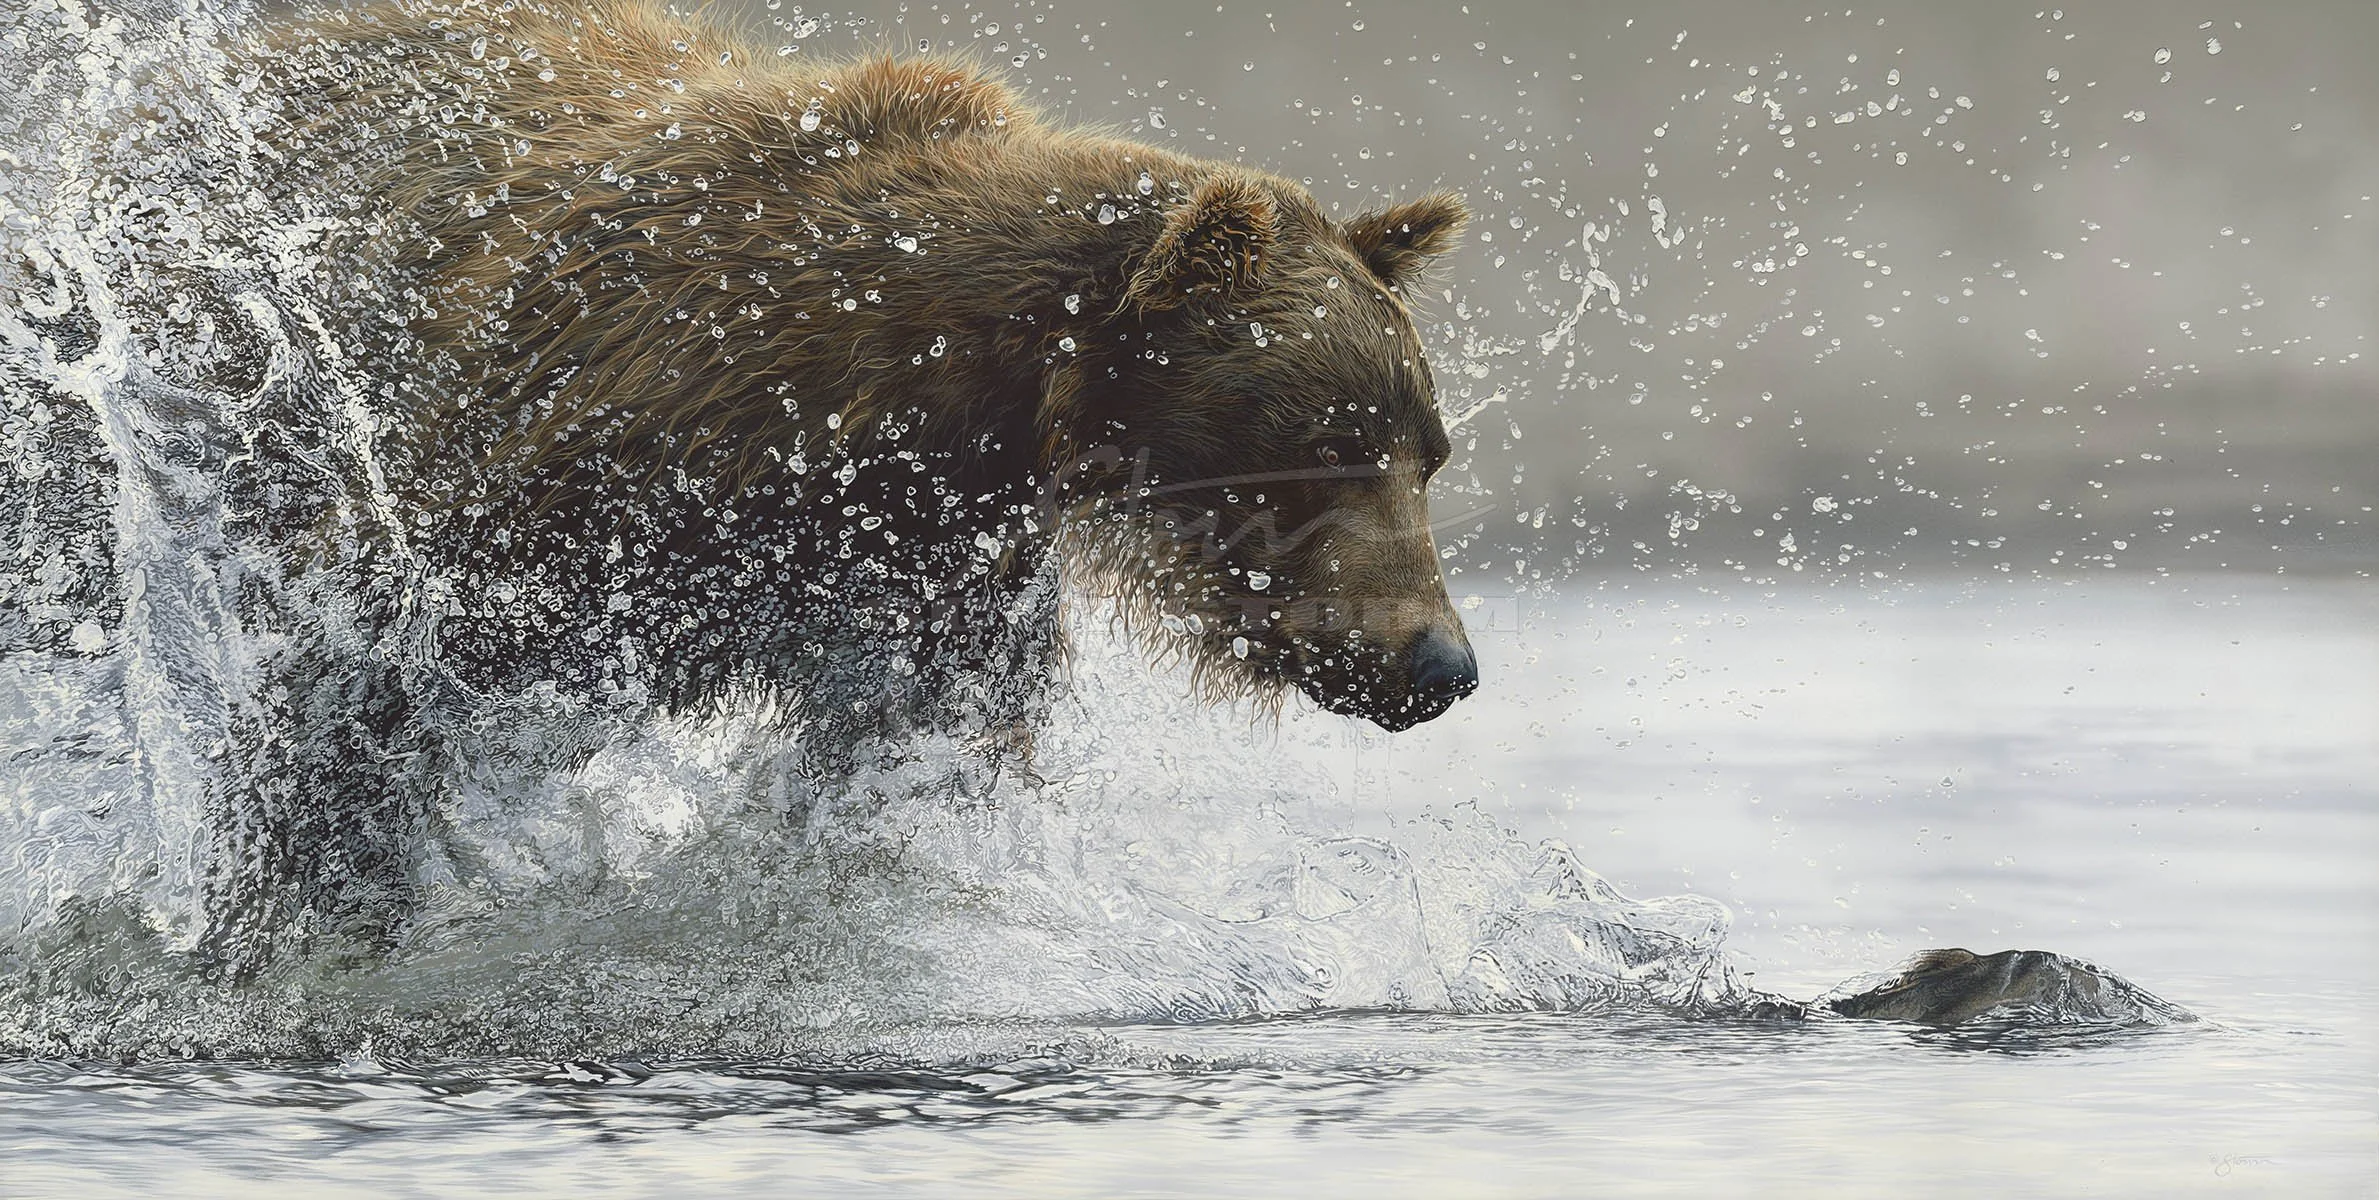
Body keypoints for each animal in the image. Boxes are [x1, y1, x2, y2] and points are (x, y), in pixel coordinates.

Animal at [200, 0, 1479, 975]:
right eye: (1325, 443)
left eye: (1428, 452)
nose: (1440, 662)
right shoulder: (571, 454)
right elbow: (355, 674)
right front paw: (305, 917)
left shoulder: (928, 565)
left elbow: (907, 758)